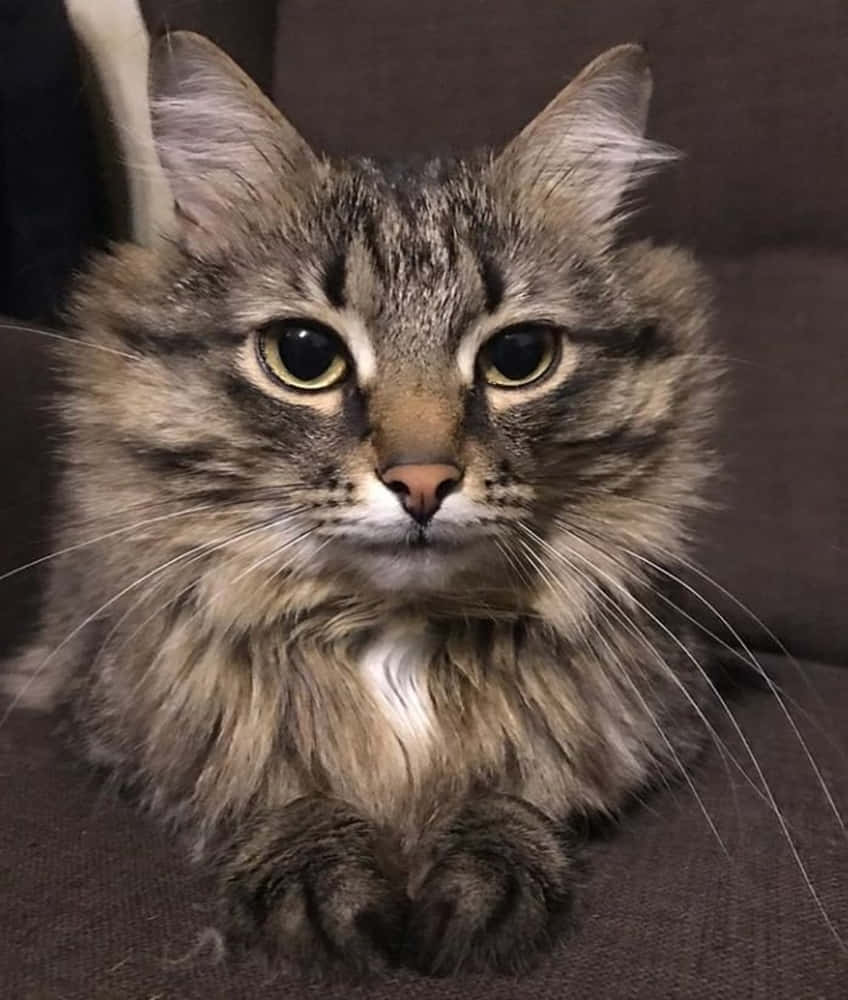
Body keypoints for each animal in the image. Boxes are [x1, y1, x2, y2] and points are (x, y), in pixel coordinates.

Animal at [4, 0, 724, 980]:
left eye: (519, 356)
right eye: (305, 355)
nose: (422, 483)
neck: (394, 639)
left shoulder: (656, 717)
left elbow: (518, 788)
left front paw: (485, 868)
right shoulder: (114, 725)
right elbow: (266, 781)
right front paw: (318, 867)